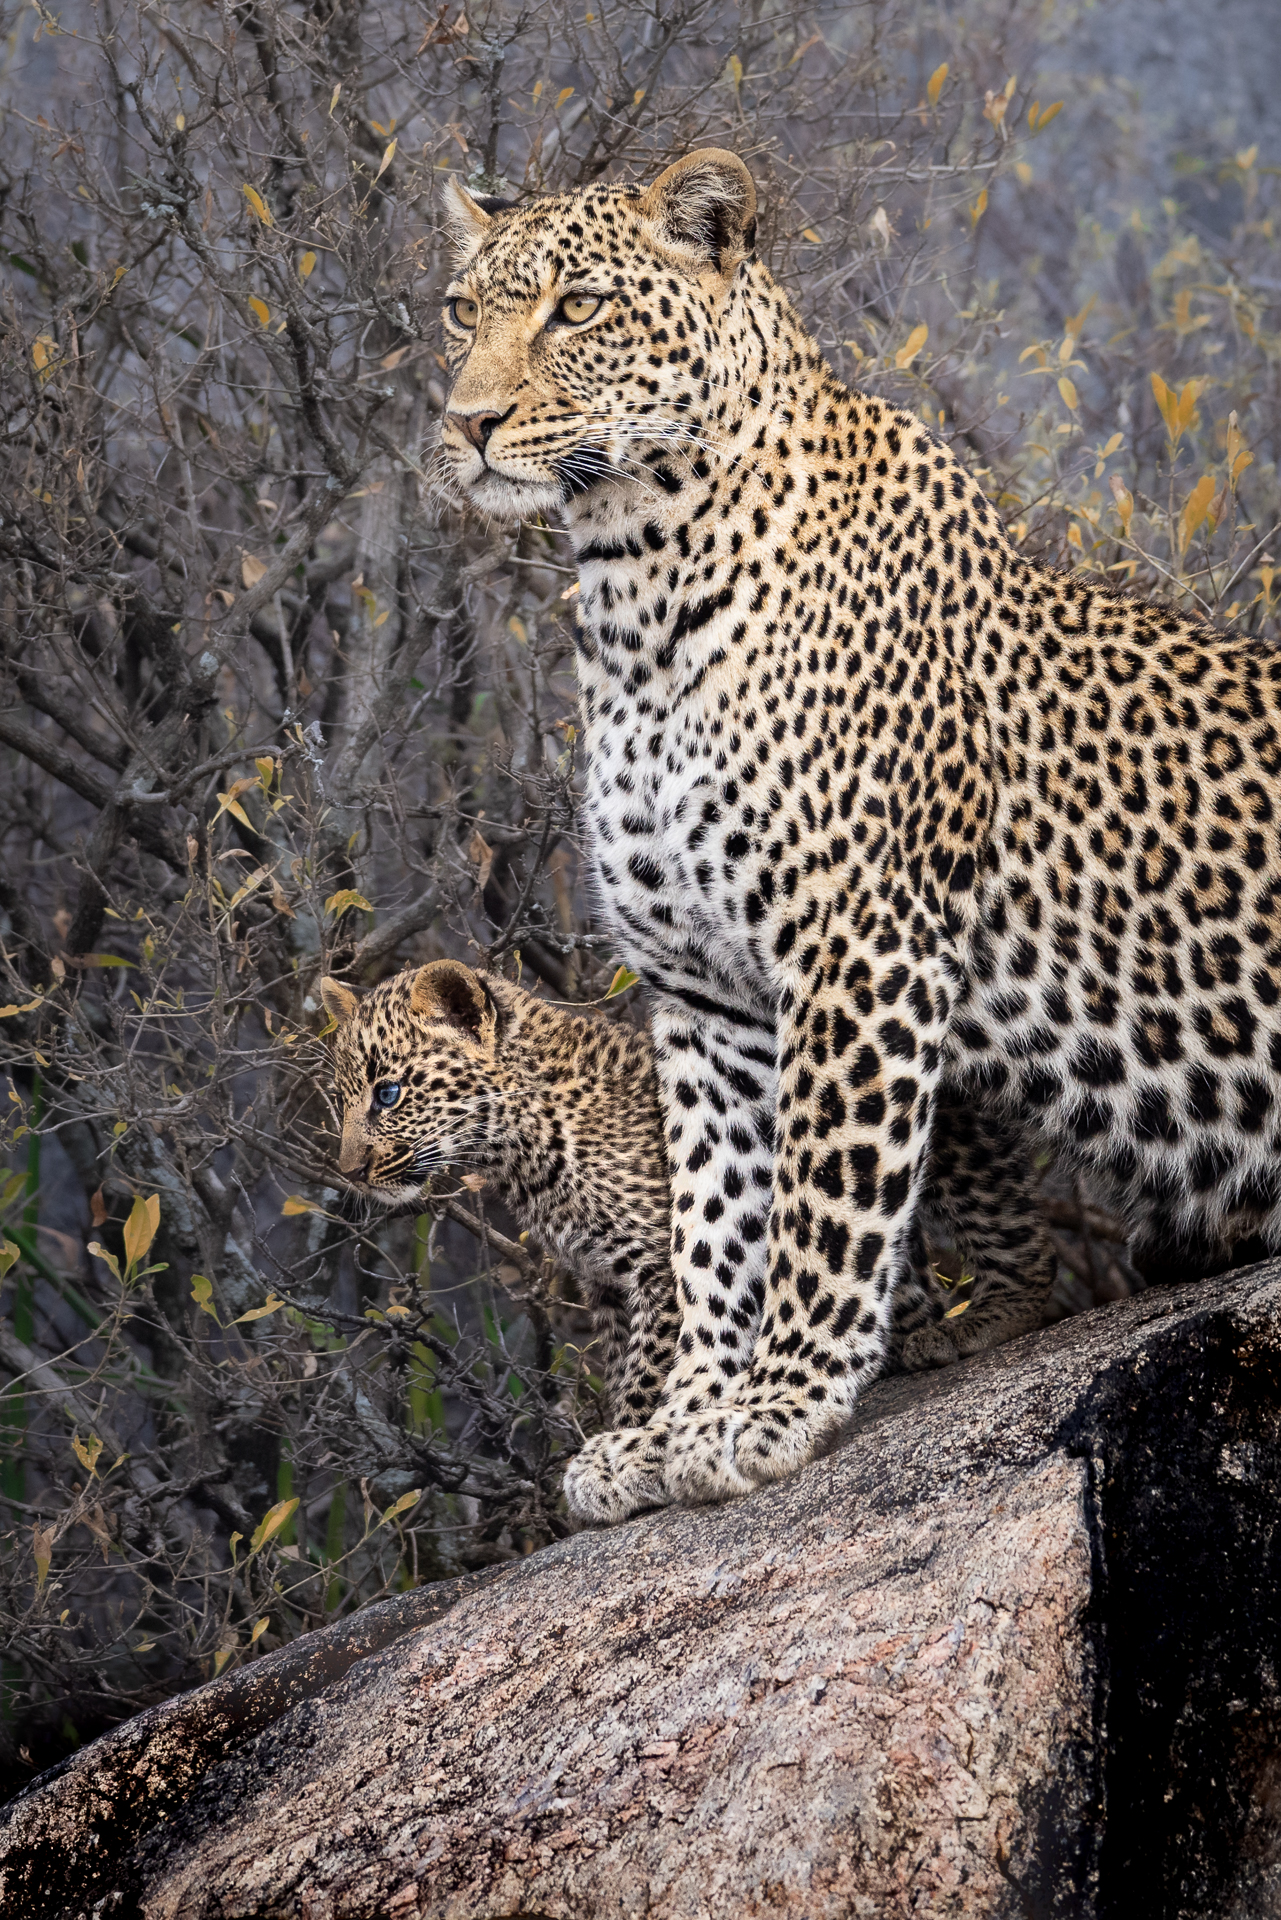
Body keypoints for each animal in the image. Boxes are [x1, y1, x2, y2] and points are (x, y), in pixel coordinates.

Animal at [320, 960, 680, 1429]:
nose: (350, 1173)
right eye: (341, 1098)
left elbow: (649, 1393)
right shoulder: (609, 1287)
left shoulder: (669, 1276)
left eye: (388, 1094)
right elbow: (627, 1382)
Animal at [435, 145, 1281, 1525]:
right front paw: (680, 1423)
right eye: (465, 313)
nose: (466, 422)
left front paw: (778, 1407)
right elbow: (716, 1220)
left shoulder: (857, 942)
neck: (636, 589)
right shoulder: (702, 994)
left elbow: (823, 1199)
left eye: (578, 308)